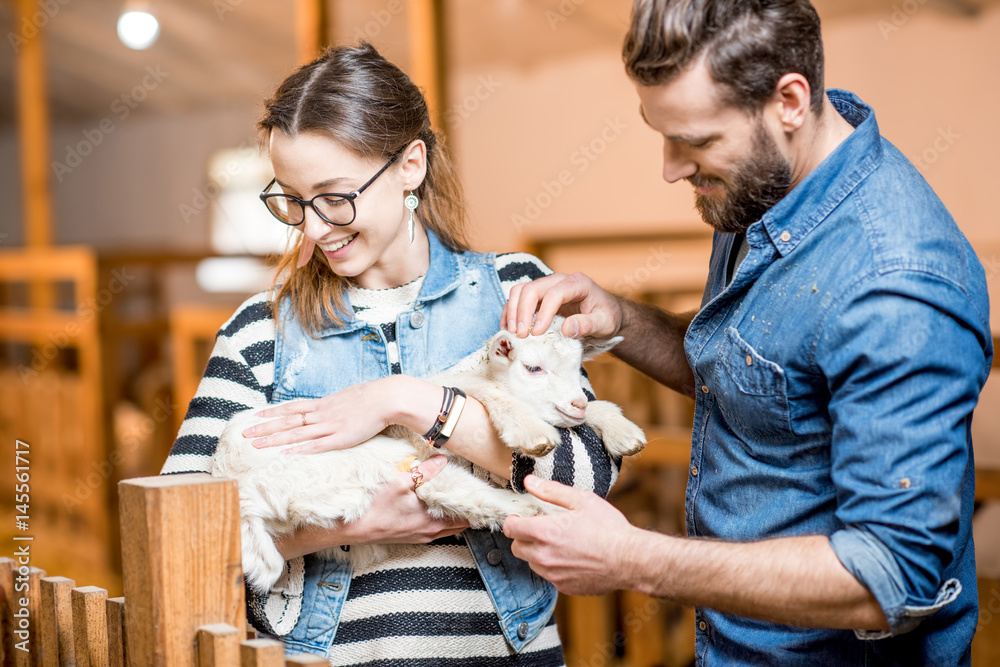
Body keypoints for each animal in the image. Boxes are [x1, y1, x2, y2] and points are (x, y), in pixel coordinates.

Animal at [213, 320, 648, 596]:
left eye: (579, 369)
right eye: (533, 367)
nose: (576, 401)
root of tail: (235, 481)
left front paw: (621, 431)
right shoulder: (461, 388)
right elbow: (492, 395)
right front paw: (532, 433)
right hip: (361, 462)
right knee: (460, 495)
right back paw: (552, 514)